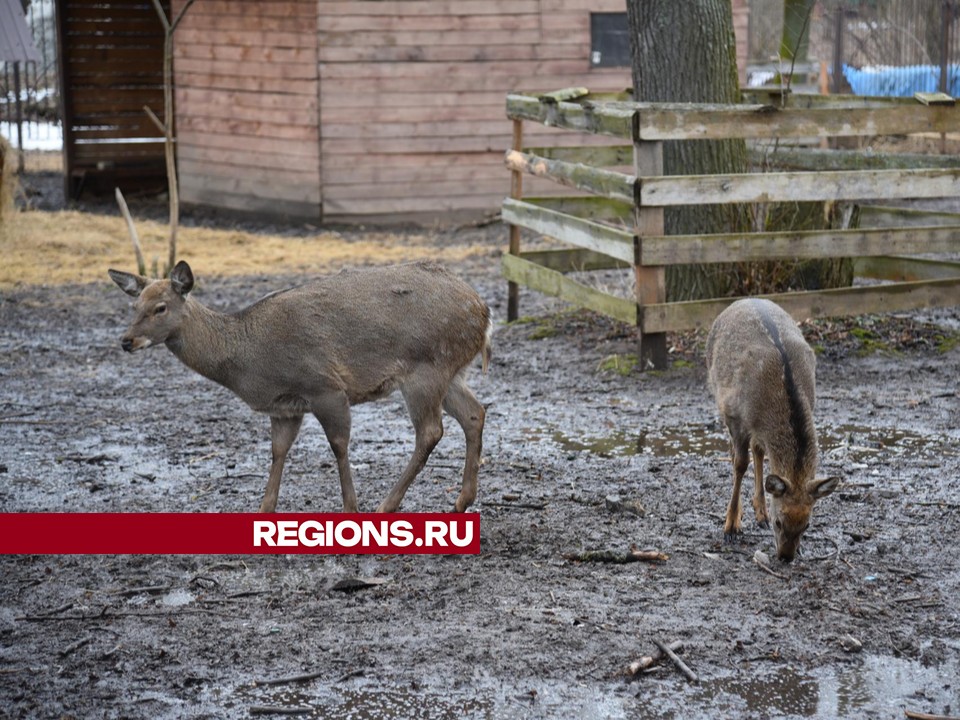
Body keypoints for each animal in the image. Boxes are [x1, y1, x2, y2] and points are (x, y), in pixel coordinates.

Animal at [109, 258, 492, 512]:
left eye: (160, 307)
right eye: (134, 304)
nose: (126, 341)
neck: (249, 362)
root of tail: (484, 312)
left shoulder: (324, 385)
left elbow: (338, 445)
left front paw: (351, 508)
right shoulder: (285, 408)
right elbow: (278, 451)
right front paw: (265, 510)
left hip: (426, 368)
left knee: (431, 431)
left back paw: (387, 505)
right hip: (450, 371)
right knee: (475, 413)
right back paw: (461, 501)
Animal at [704, 298, 840, 564]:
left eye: (807, 525)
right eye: (780, 522)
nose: (786, 556)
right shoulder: (734, 416)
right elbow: (739, 464)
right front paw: (730, 527)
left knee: (759, 450)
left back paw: (760, 512)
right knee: (737, 455)